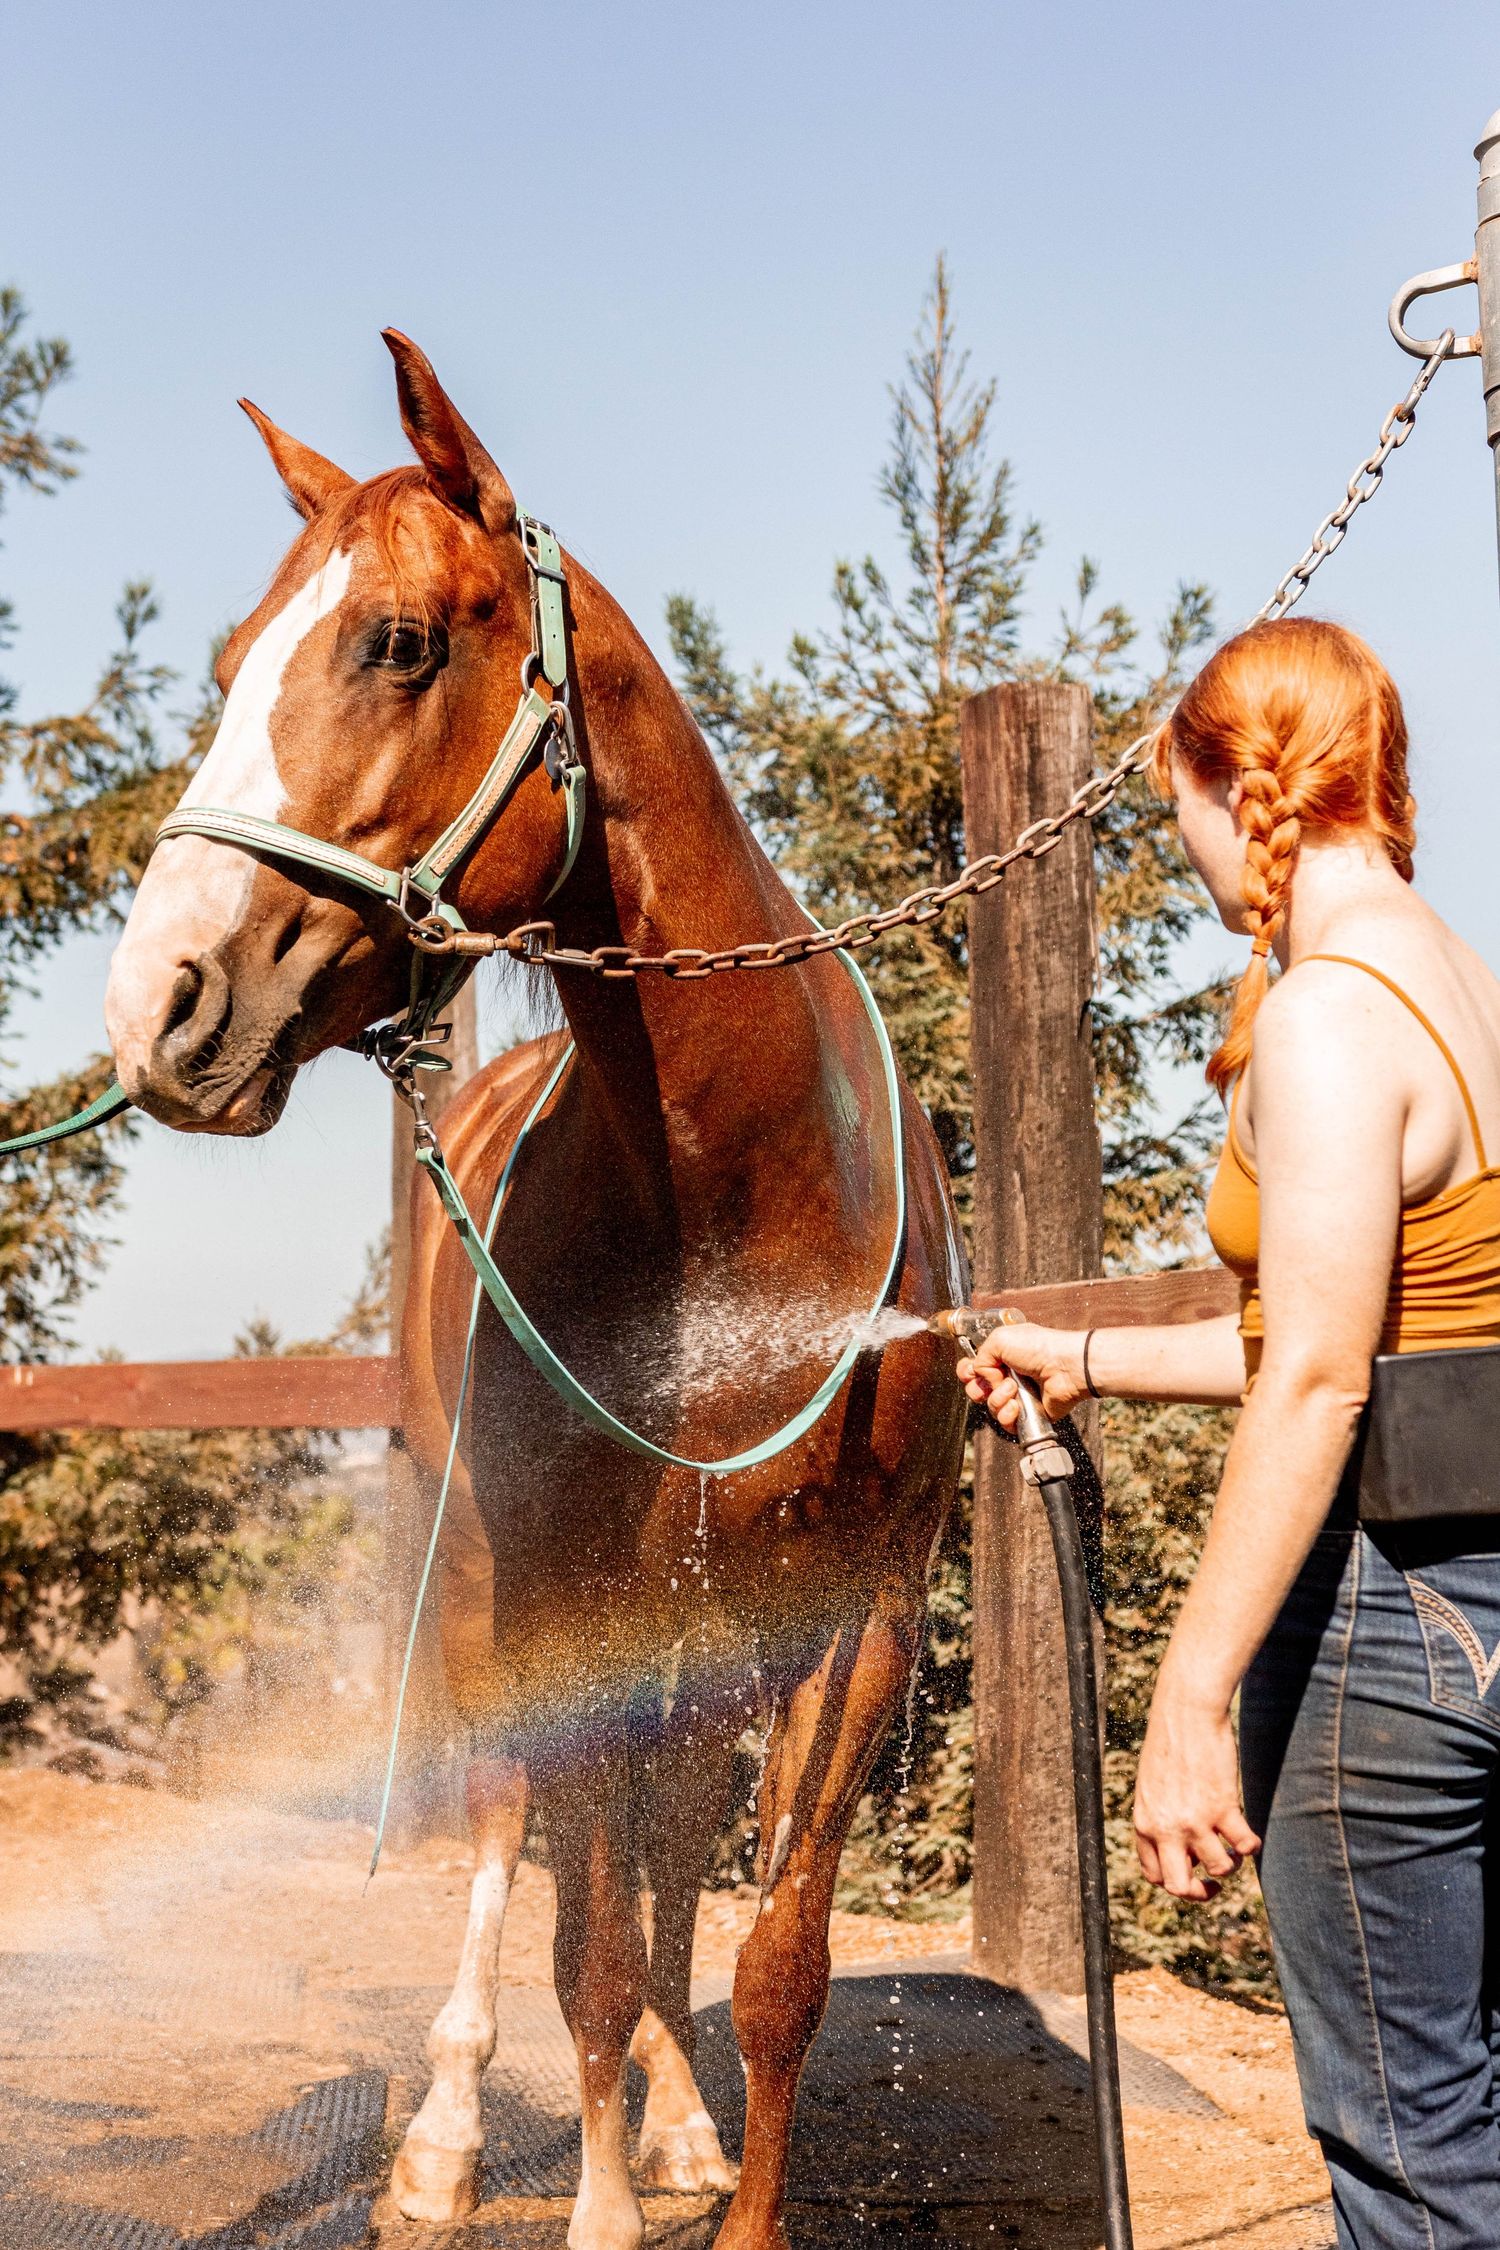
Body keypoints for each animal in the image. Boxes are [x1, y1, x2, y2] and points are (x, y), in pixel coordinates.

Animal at [103, 331, 968, 2250]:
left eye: (399, 640)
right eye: (227, 665)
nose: (159, 1006)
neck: (740, 1199)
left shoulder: (855, 1619)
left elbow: (775, 1963)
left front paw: (717, 2172)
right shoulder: (563, 1603)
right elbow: (582, 1948)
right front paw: (586, 2197)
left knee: (661, 1848)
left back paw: (676, 2120)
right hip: (485, 1582)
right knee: (515, 1832)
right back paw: (440, 2138)